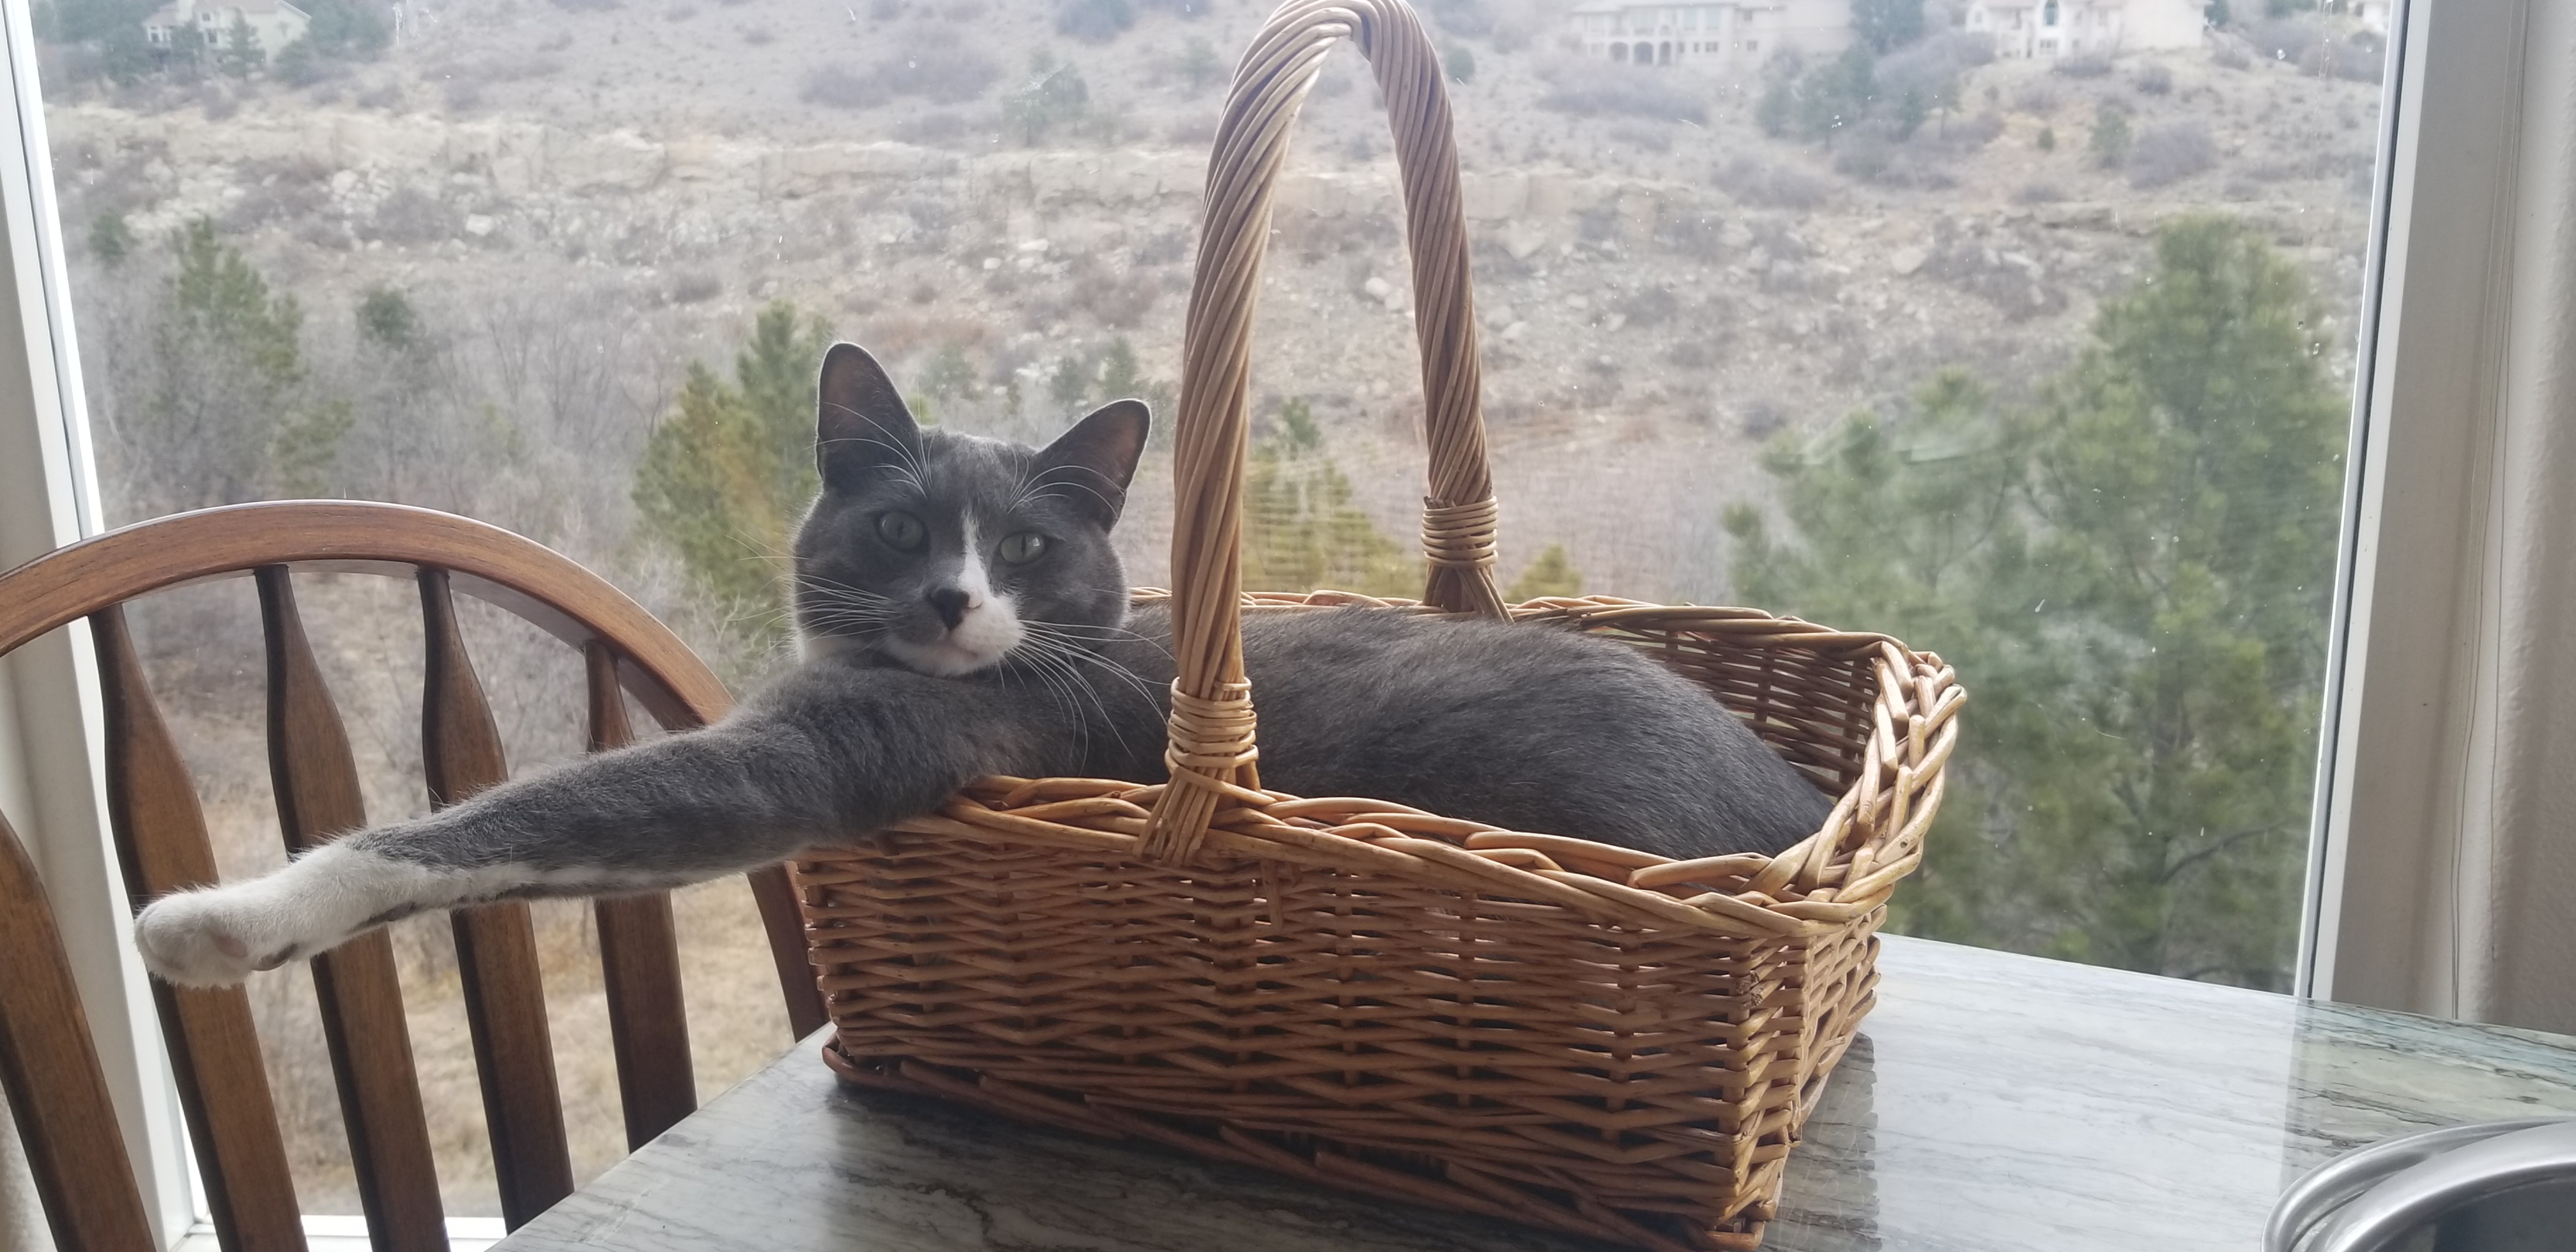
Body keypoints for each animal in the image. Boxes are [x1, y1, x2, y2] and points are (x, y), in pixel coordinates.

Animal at [135, 345, 1834, 989]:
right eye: (896, 525)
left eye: (1021, 545)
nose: (957, 598)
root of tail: (1798, 807)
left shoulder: (828, 757)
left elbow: (519, 814)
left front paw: (214, 923)